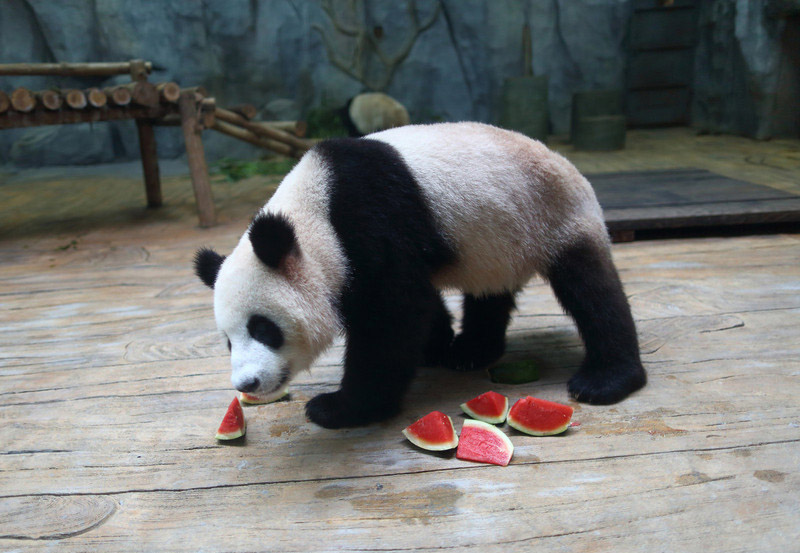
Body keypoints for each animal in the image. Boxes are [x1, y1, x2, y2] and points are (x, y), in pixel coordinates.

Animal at [197, 123, 648, 430]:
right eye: (227, 341)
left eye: (263, 328)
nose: (247, 382)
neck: (315, 213)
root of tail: (569, 165)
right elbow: (417, 302)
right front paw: (435, 345)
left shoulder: (372, 218)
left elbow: (392, 316)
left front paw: (340, 407)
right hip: (499, 239)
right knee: (491, 291)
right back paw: (471, 350)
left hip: (555, 216)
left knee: (592, 292)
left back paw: (605, 380)